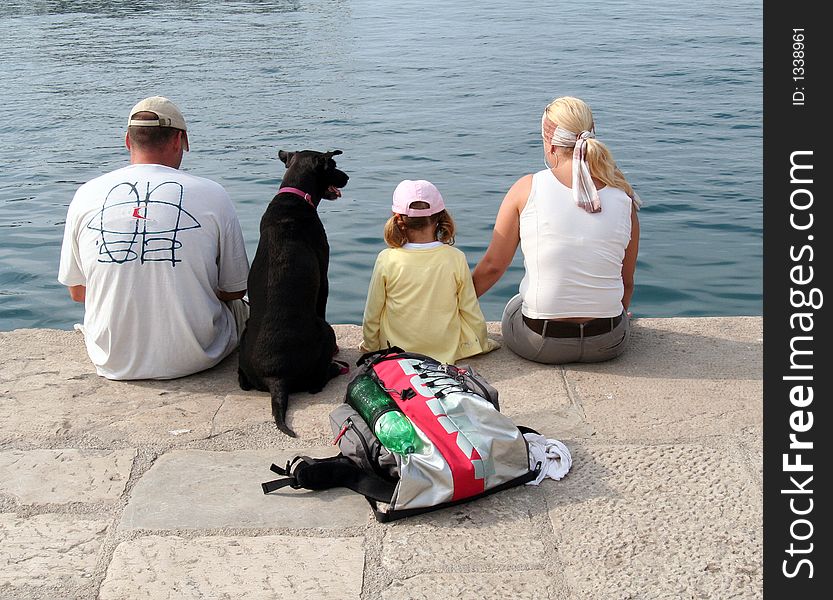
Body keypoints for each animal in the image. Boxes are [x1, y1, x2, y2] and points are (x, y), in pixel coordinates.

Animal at [237, 149, 348, 436]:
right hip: (325, 331)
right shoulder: (324, 277)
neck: (295, 194)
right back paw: (334, 367)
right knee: (317, 382)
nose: (346, 177)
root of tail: (277, 378)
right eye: (333, 164)